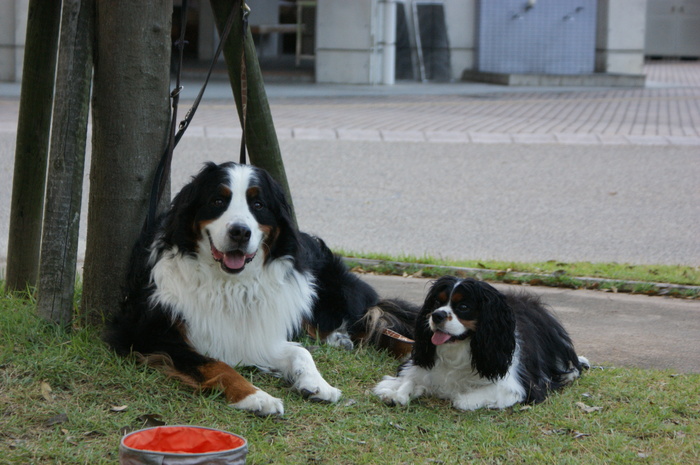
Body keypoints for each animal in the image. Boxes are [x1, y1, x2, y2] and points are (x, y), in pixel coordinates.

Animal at [105, 161, 416, 416]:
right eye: (218, 200)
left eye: (258, 205)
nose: (240, 232)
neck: (228, 283)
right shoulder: (148, 334)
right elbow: (219, 365)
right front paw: (256, 397)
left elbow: (301, 352)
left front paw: (318, 383)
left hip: (328, 295)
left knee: (373, 320)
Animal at [374, 276, 588, 410]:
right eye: (436, 303)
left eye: (463, 307)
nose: (437, 315)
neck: (460, 348)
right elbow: (410, 379)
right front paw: (396, 392)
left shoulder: (515, 386)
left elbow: (461, 400)